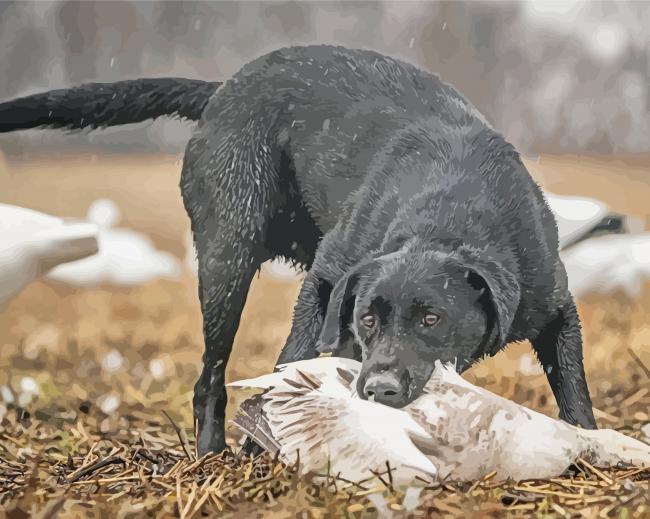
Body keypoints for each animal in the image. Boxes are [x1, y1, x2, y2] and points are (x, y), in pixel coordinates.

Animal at [0, 45, 596, 456]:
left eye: (432, 318)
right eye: (370, 318)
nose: (378, 389)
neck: (448, 214)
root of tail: (221, 91)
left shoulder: (555, 308)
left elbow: (574, 392)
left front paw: (591, 444)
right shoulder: (327, 286)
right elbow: (287, 366)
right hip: (227, 260)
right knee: (210, 378)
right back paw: (216, 454)